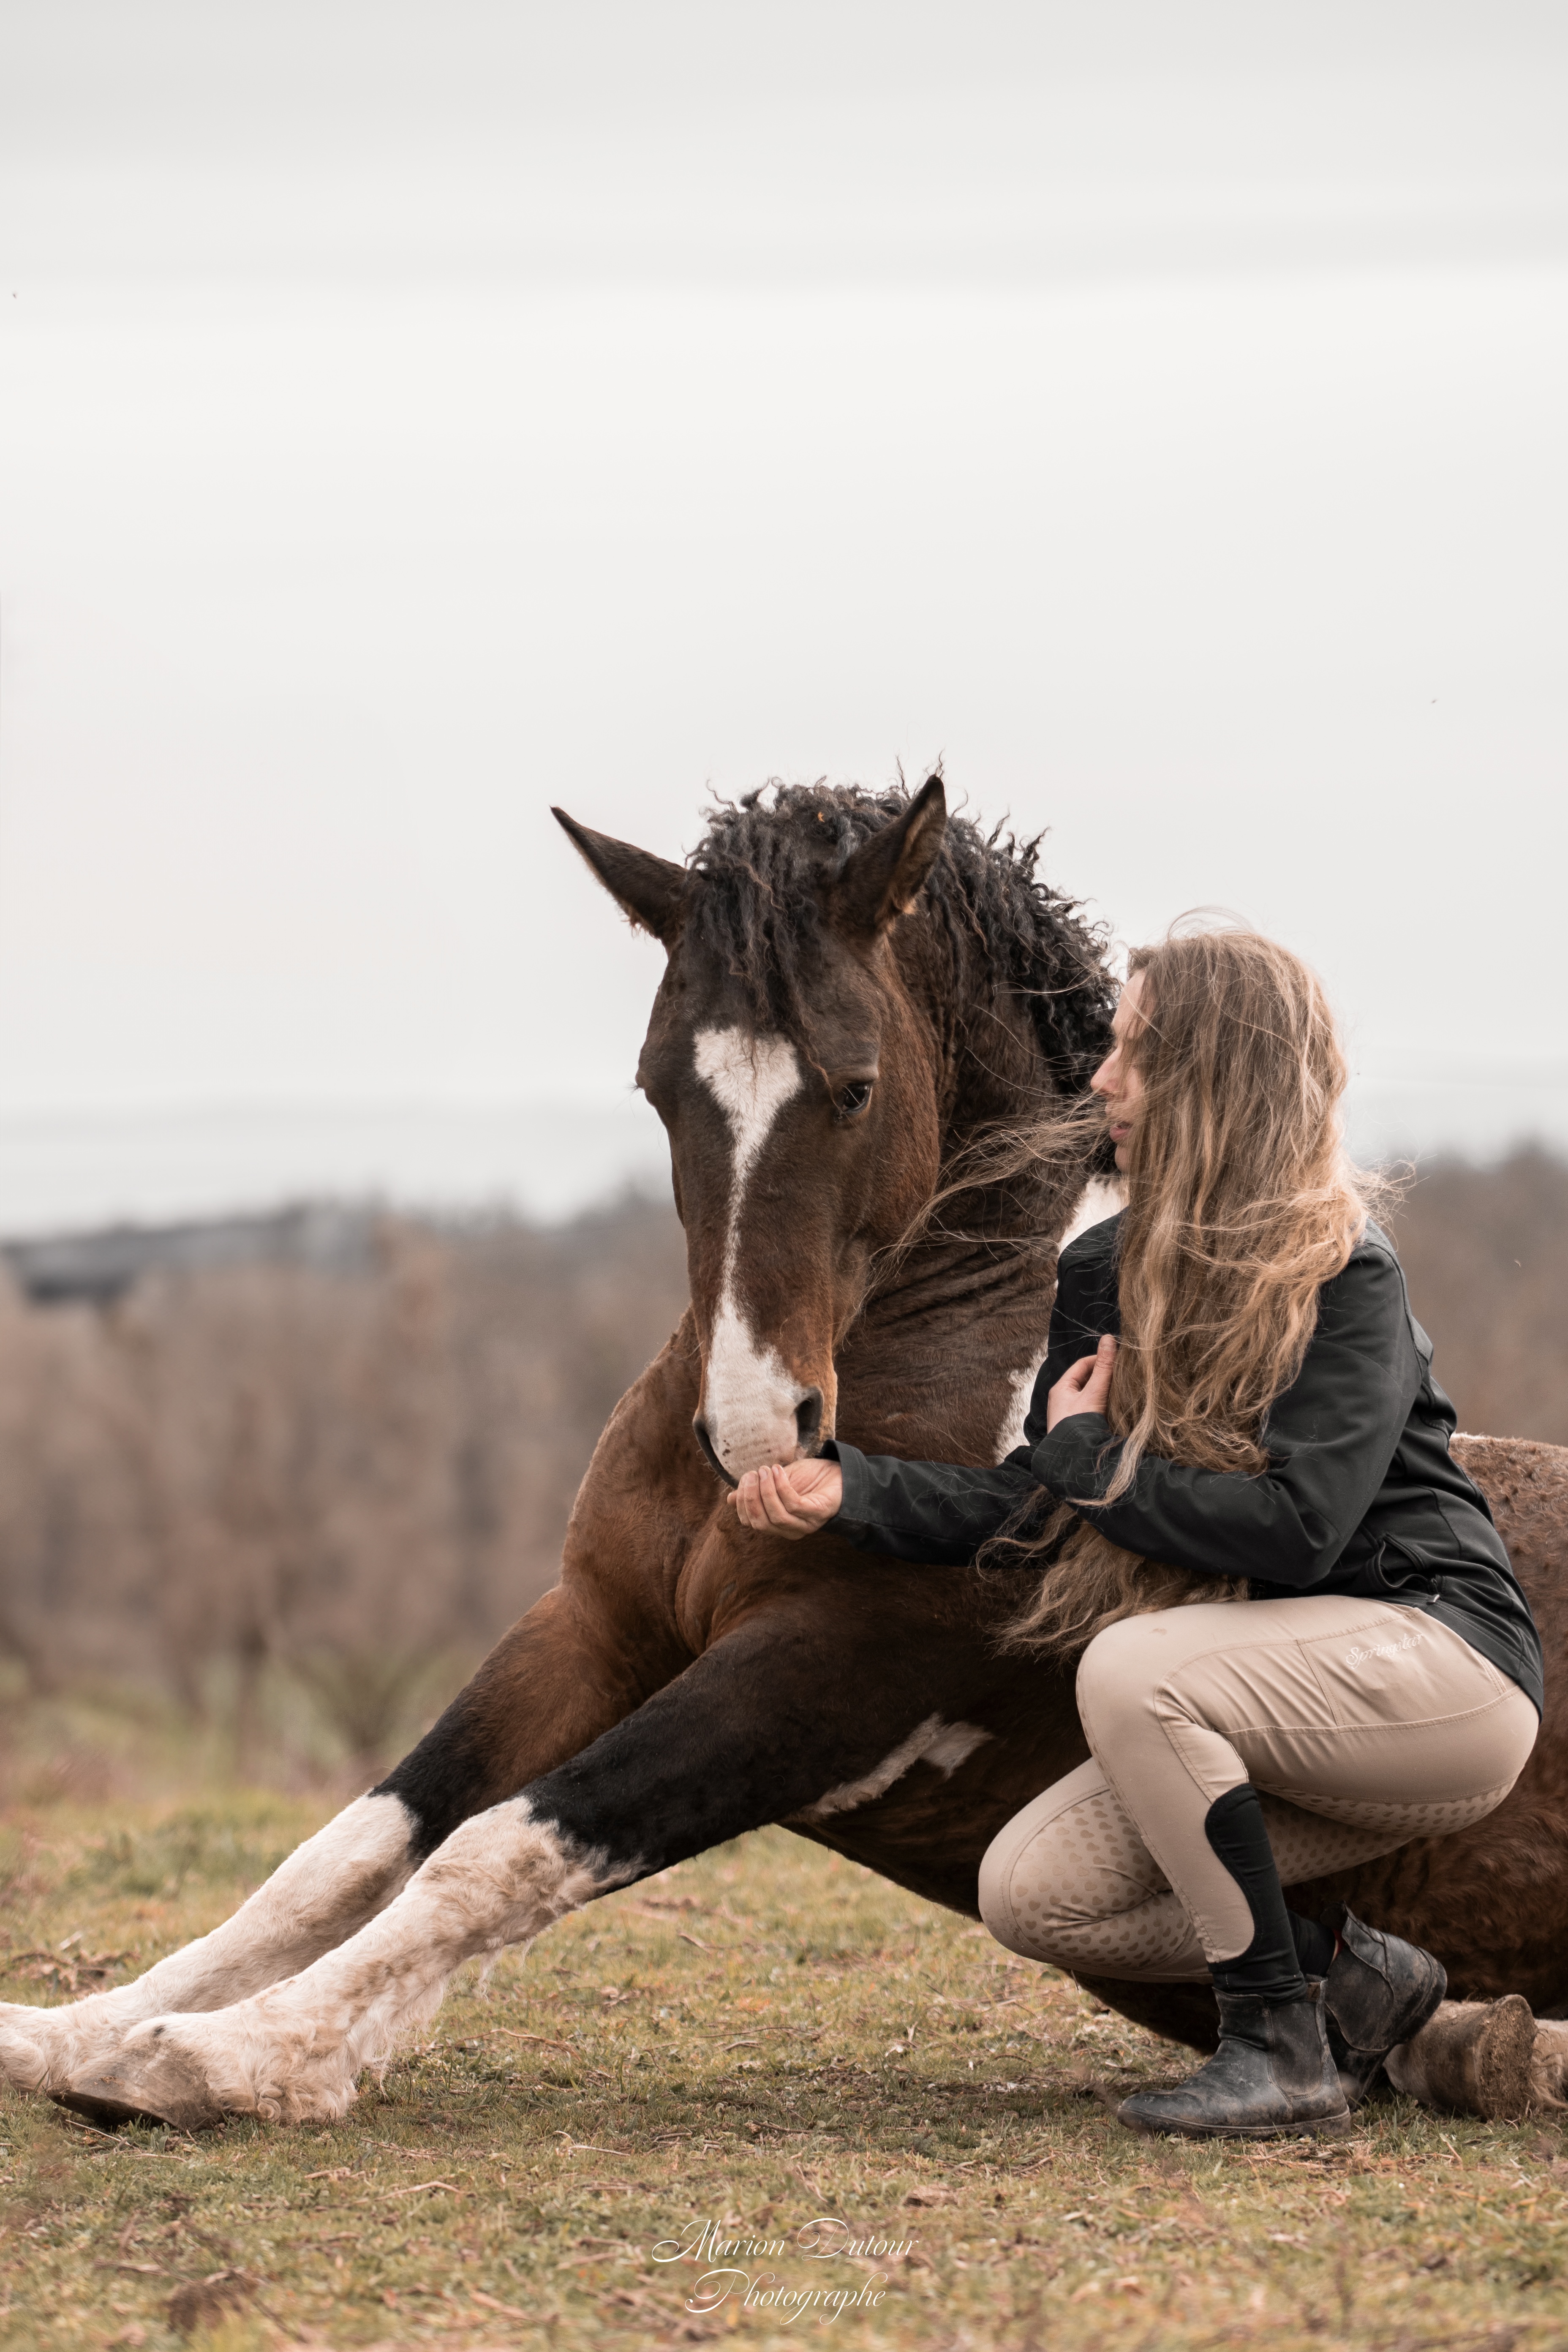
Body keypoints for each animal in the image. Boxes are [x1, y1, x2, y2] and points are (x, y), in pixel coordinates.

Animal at [3, 777, 1567, 2132]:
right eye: (658, 1088)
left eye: (855, 1086)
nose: (762, 1430)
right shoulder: (594, 1626)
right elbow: (354, 1845)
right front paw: (81, 2032)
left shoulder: (818, 1673)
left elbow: (503, 1845)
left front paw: (227, 2059)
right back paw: (1458, 2037)